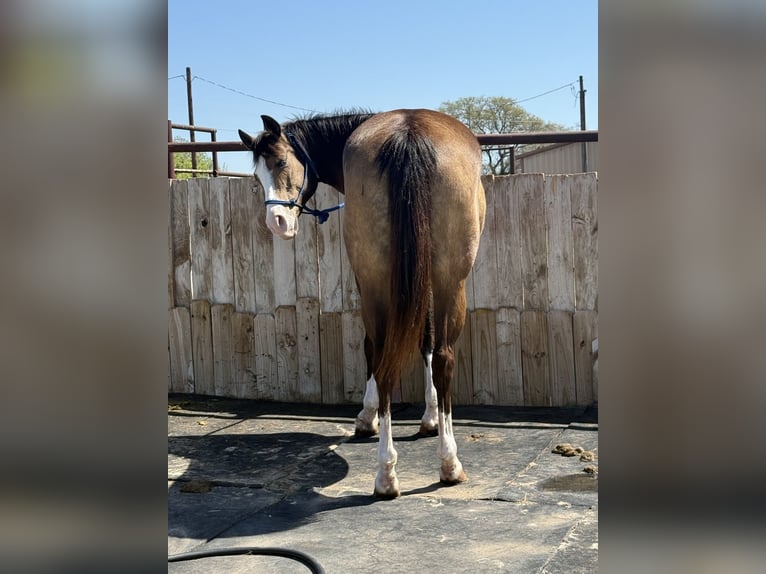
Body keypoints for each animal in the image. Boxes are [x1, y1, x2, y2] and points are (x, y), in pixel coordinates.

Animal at [239, 109, 486, 498]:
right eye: (256, 176)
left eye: (280, 162)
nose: (277, 223)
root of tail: (408, 133)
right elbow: (422, 343)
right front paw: (424, 417)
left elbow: (409, 343)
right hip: (442, 281)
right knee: (435, 357)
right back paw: (432, 466)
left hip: (384, 282)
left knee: (394, 355)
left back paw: (394, 471)